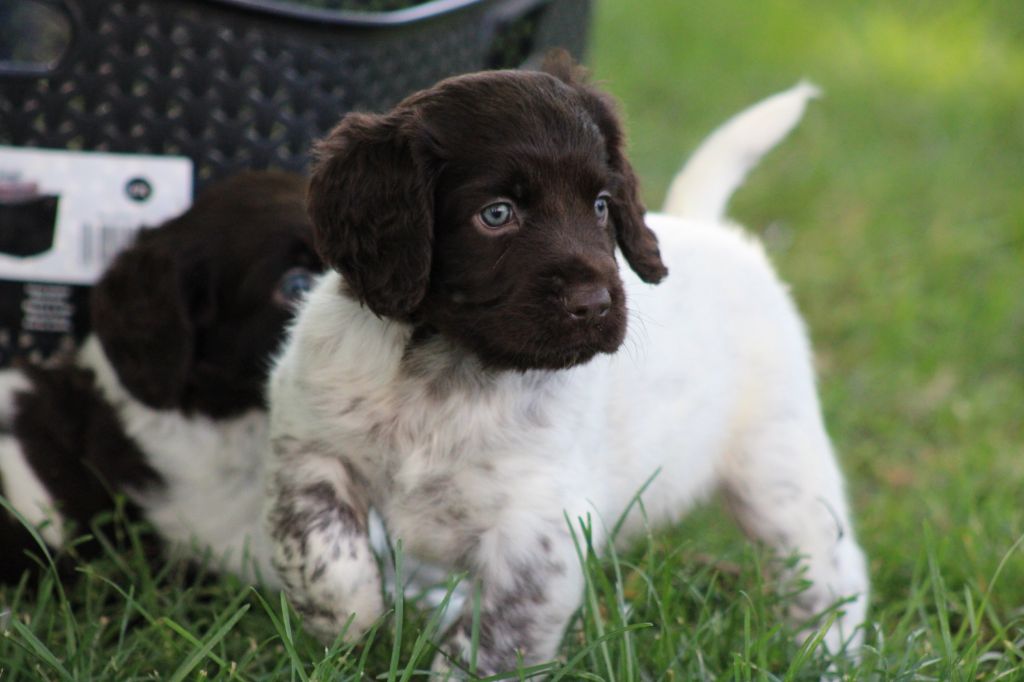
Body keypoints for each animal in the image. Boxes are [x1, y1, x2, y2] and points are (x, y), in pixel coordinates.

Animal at [268, 54, 868, 675]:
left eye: (601, 205)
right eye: (497, 214)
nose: (595, 305)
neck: (446, 372)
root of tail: (712, 229)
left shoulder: (539, 536)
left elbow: (488, 647)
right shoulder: (308, 445)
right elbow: (315, 544)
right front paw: (347, 620)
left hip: (778, 466)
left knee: (830, 569)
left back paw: (828, 655)